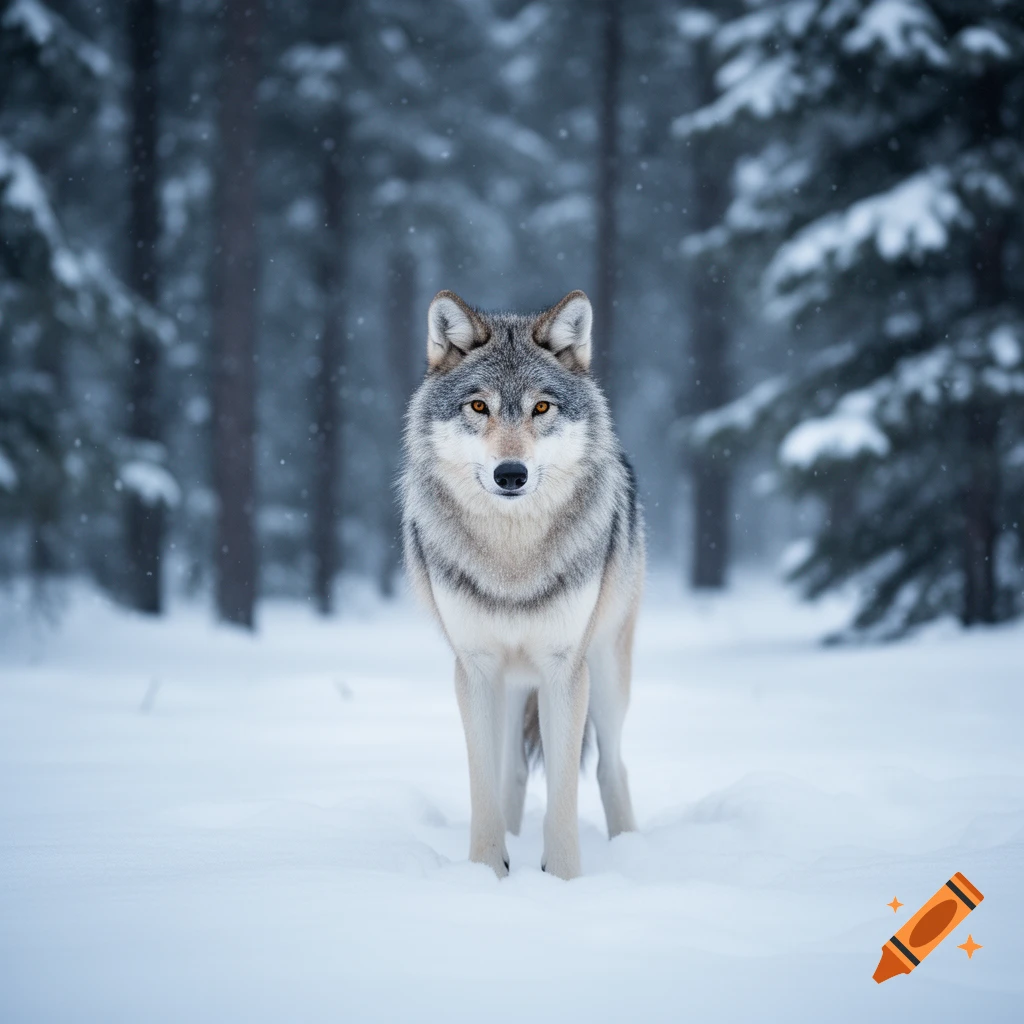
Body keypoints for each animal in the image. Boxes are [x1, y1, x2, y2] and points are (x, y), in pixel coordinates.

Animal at [400, 289, 644, 880]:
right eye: (478, 407)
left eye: (541, 408)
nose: (510, 474)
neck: (513, 564)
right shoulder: (474, 669)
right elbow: (483, 784)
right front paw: (487, 872)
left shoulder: (564, 669)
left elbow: (563, 792)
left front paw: (563, 880)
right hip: (511, 685)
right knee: (510, 770)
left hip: (606, 670)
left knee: (611, 766)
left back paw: (628, 849)